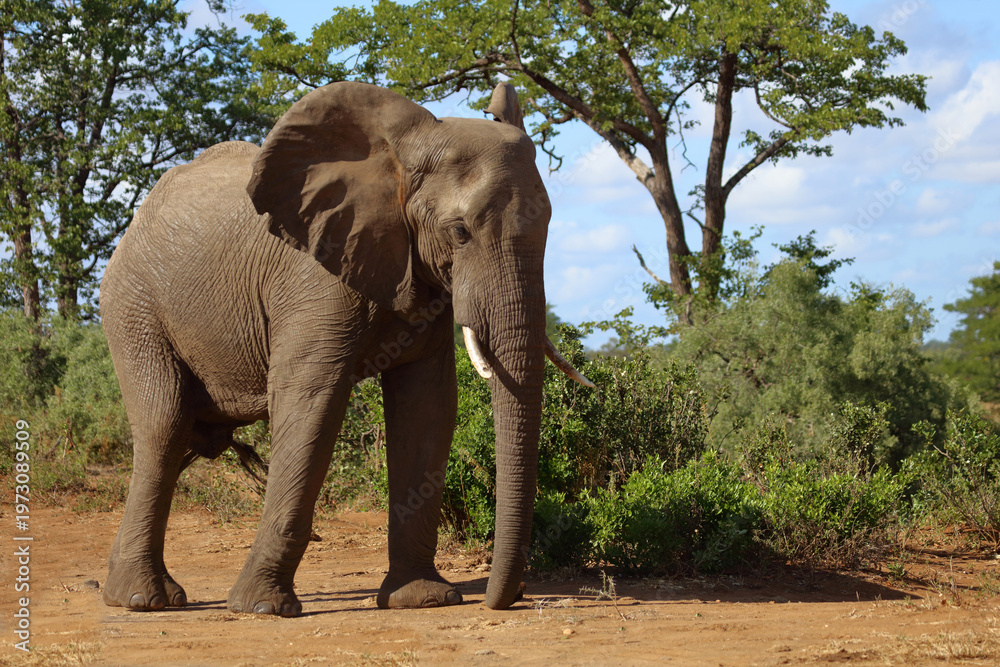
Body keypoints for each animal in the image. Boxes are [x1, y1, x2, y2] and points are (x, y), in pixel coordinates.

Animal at [98, 80, 592, 616]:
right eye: (459, 231)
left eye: (548, 225)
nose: (509, 598)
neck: (399, 157)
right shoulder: (313, 278)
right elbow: (311, 401)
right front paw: (262, 609)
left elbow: (427, 408)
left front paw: (422, 599)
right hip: (133, 307)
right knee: (164, 425)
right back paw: (142, 599)